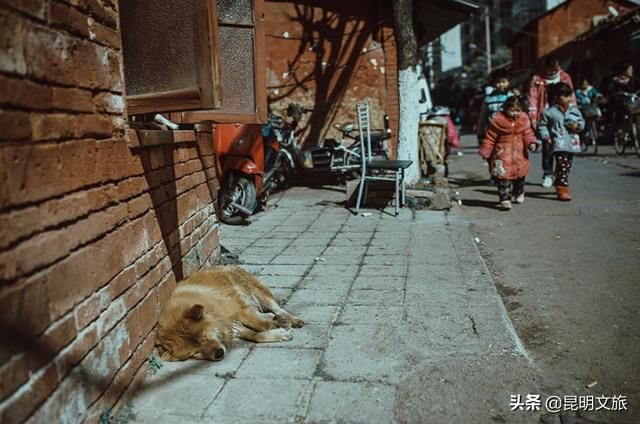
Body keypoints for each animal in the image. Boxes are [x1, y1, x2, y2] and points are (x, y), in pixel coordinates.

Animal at [156, 264, 304, 362]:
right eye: (195, 353)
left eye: (205, 337)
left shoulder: (237, 310)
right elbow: (255, 335)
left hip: (254, 290)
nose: (219, 353)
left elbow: (259, 324)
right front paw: (277, 333)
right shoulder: (231, 327)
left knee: (276, 307)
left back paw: (290, 319)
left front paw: (273, 324)